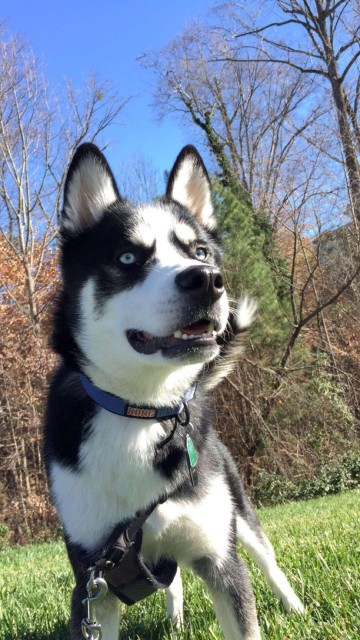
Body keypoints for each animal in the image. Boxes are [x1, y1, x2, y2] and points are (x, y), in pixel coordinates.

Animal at [45, 145, 304, 640]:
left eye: (199, 250)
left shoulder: (221, 559)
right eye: (128, 258)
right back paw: (176, 617)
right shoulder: (92, 581)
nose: (207, 278)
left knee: (268, 560)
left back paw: (294, 606)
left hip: (239, 513)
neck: (141, 410)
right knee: (174, 579)